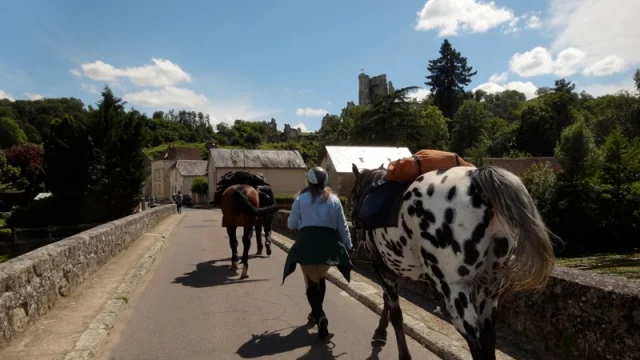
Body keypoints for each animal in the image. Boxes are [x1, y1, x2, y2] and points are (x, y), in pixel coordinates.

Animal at [350, 164, 556, 360]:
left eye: (352, 193)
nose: (354, 221)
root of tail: (477, 180)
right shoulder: (391, 270)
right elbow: (388, 302)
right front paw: (380, 332)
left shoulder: (381, 267)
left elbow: (396, 314)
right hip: (489, 287)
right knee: (488, 338)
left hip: (454, 290)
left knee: (477, 341)